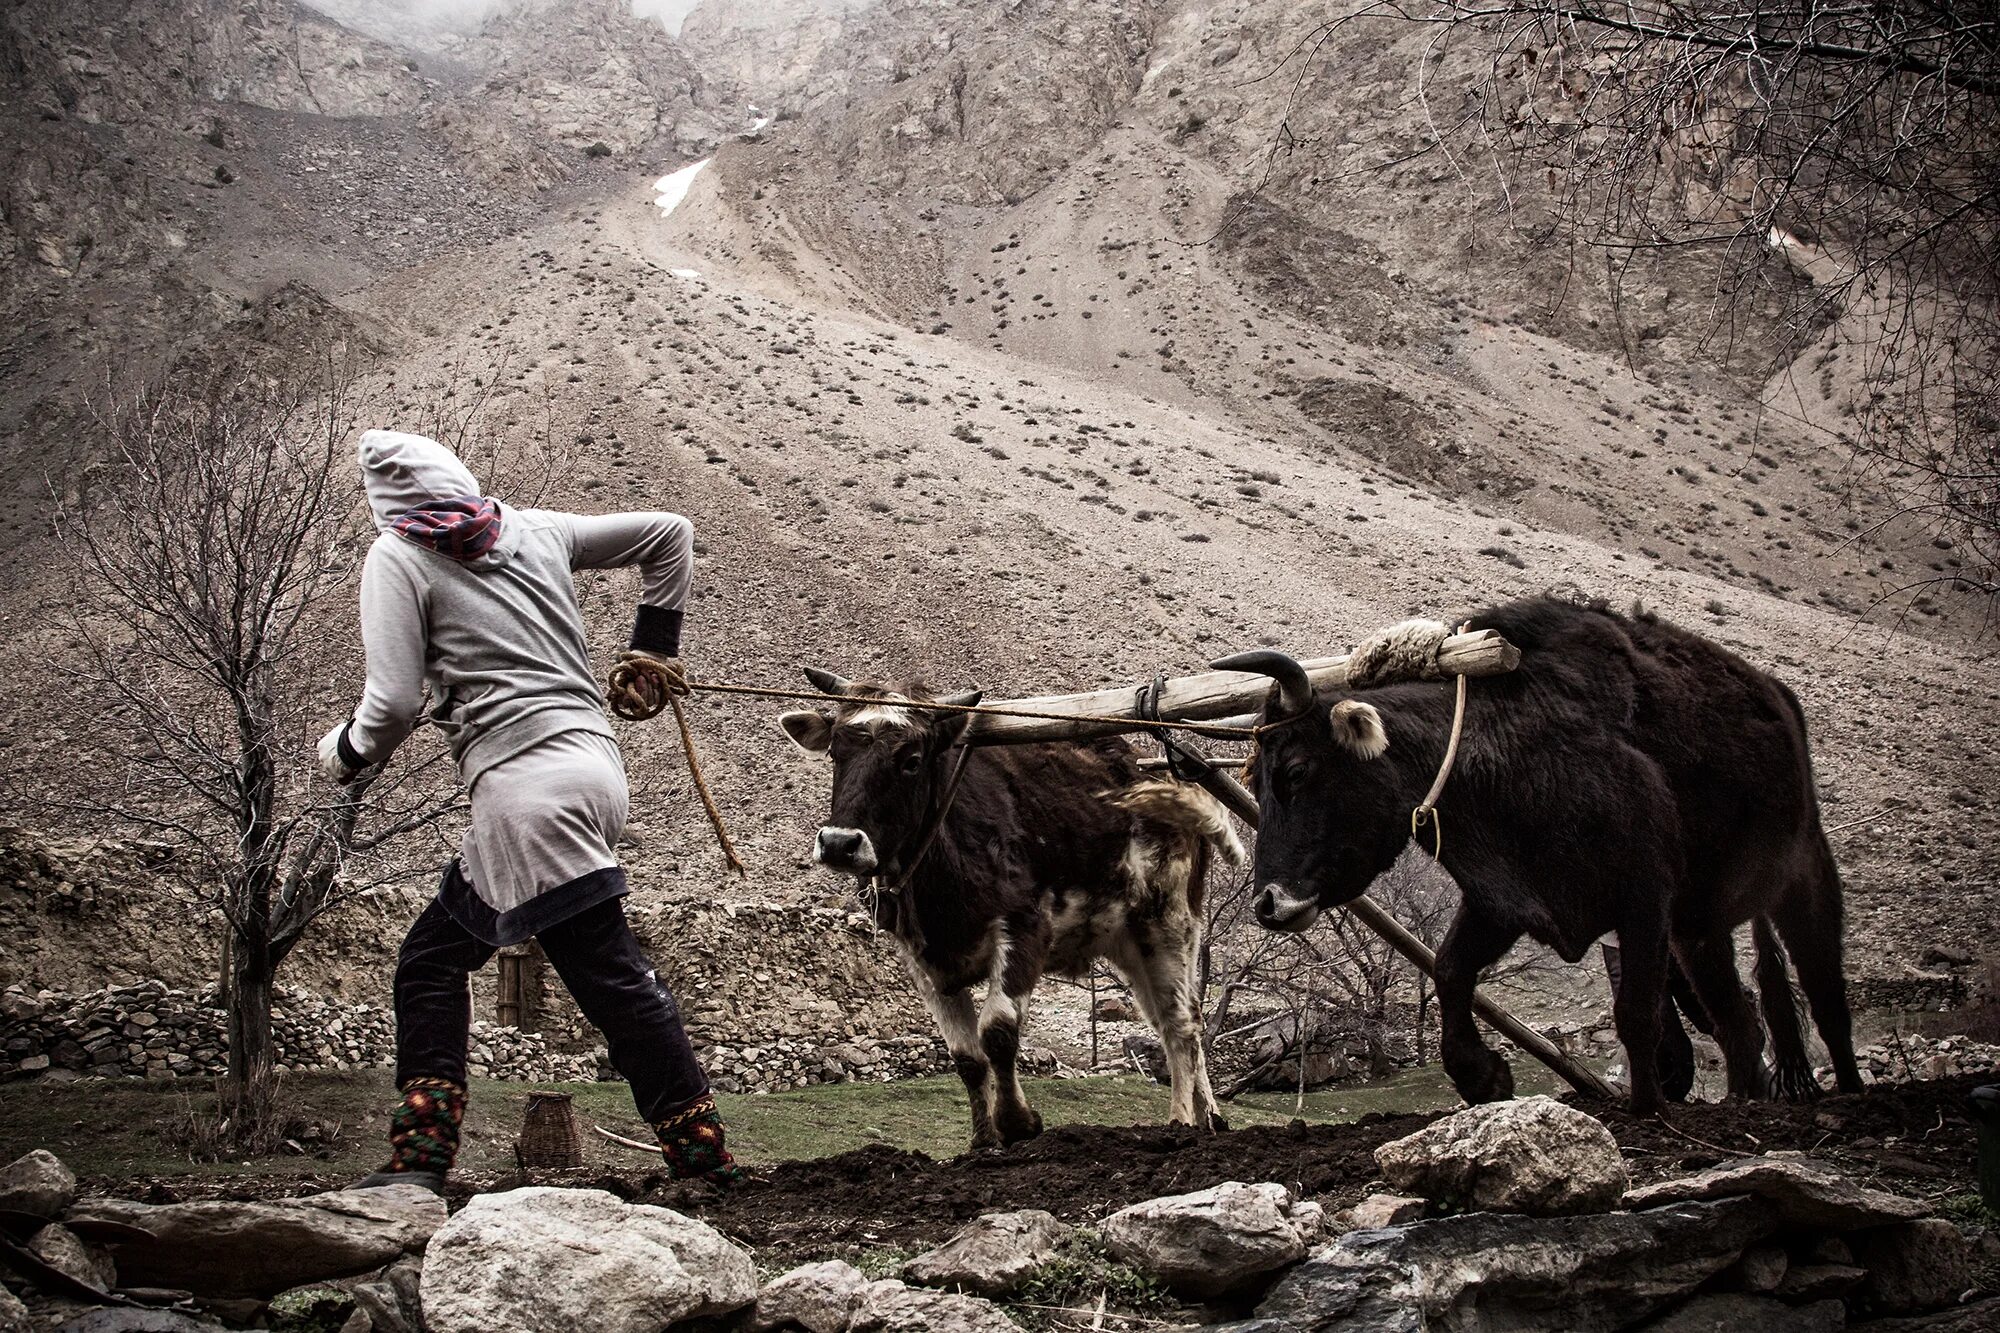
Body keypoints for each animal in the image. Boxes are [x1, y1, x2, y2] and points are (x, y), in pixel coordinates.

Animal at [776, 668, 1232, 1144]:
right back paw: (1209, 1117)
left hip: (1169, 923)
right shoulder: (922, 960)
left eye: (911, 760)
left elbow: (997, 1032)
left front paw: (1016, 1122)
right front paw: (982, 1139)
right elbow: (966, 1056)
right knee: (1172, 1020)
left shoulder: (1025, 929)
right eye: (835, 752)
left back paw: (1182, 1122)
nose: (839, 844)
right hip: (1128, 942)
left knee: (1181, 1025)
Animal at [1216, 592, 1856, 1112]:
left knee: (1823, 992)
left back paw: (1846, 1091)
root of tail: (1776, 694)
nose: (1269, 904)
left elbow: (1637, 1013)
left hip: (1801, 873)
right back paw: (1746, 1100)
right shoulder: (1502, 900)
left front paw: (1648, 1110)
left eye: (1297, 771)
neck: (1507, 754)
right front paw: (1483, 1077)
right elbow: (1450, 969)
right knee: (1736, 1017)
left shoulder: (1645, 900)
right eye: (1253, 778)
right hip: (1700, 926)